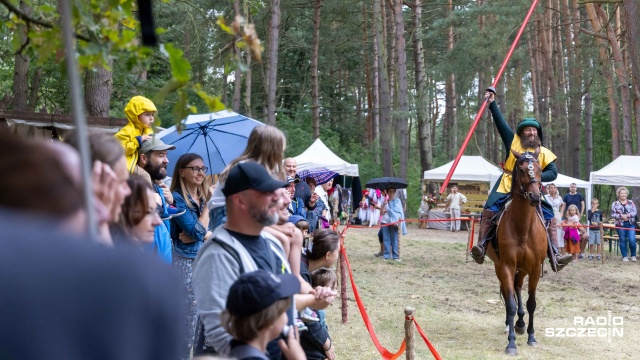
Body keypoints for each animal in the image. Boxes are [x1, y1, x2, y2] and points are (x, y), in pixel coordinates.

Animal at [488, 148, 548, 356]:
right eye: (521, 169)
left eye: (539, 169)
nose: (535, 196)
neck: (522, 228)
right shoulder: (506, 266)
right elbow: (511, 304)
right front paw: (511, 343)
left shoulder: (535, 269)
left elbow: (531, 303)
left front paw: (531, 336)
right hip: (501, 267)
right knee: (509, 294)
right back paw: (510, 325)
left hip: (523, 269)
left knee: (517, 286)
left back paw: (520, 324)